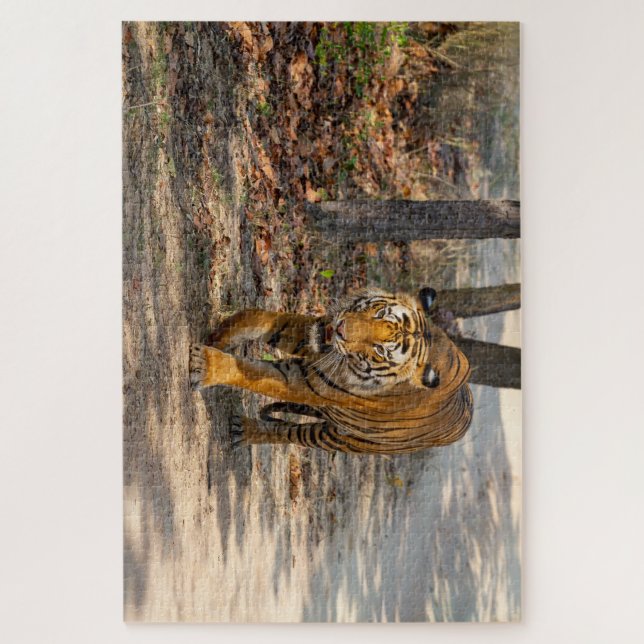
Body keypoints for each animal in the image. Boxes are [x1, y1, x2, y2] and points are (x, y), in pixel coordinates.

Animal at [189, 287, 473, 454]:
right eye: (380, 312)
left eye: (381, 351)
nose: (341, 328)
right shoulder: (310, 330)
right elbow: (255, 317)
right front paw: (218, 338)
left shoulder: (303, 383)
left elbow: (252, 374)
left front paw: (204, 364)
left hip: (336, 438)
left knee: (289, 433)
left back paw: (245, 431)